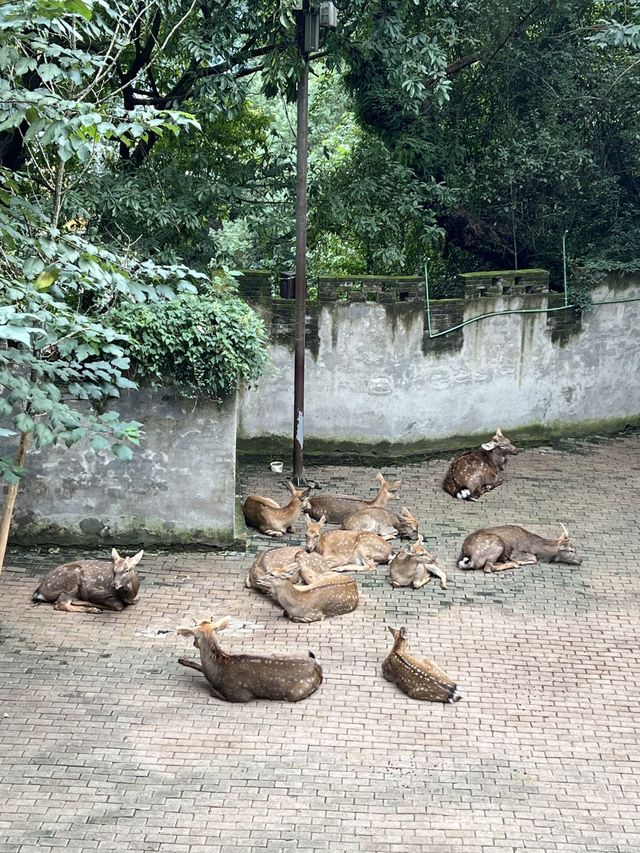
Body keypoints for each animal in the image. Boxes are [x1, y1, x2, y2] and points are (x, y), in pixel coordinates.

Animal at [178, 616, 322, 704]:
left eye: (195, 637)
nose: (193, 643)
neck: (217, 671)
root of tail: (317, 667)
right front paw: (182, 659)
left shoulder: (240, 695)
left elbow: (212, 691)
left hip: (296, 692)